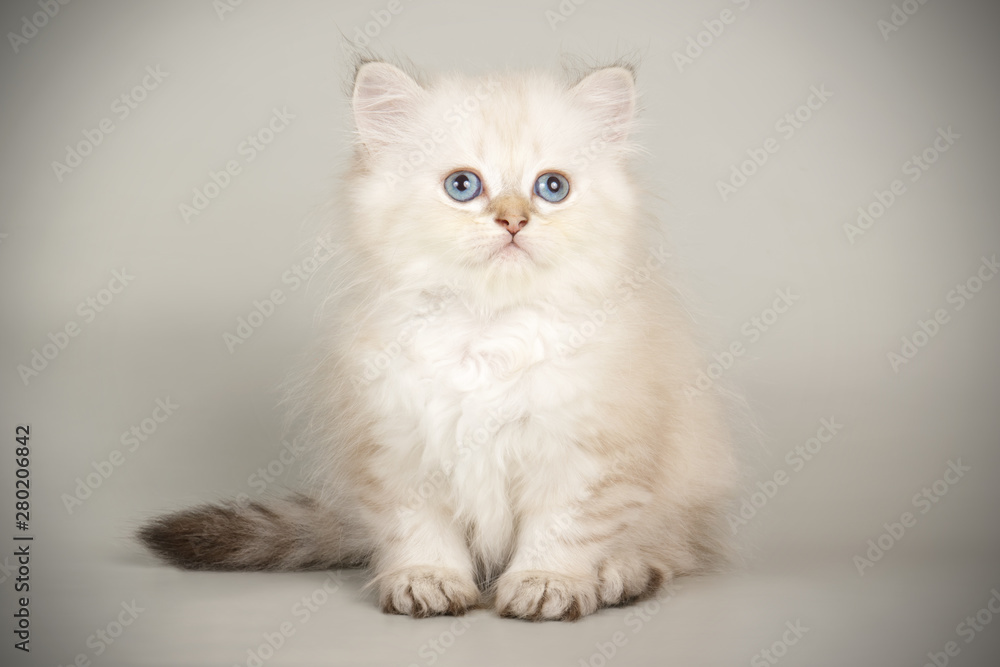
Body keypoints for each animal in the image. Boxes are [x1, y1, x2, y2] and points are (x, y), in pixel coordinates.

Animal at [139, 57, 736, 620]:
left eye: (552, 188)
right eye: (463, 186)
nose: (514, 221)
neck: (486, 329)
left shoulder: (587, 455)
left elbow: (562, 530)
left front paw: (548, 584)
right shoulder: (396, 447)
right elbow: (418, 531)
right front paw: (426, 582)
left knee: (669, 547)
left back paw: (620, 575)